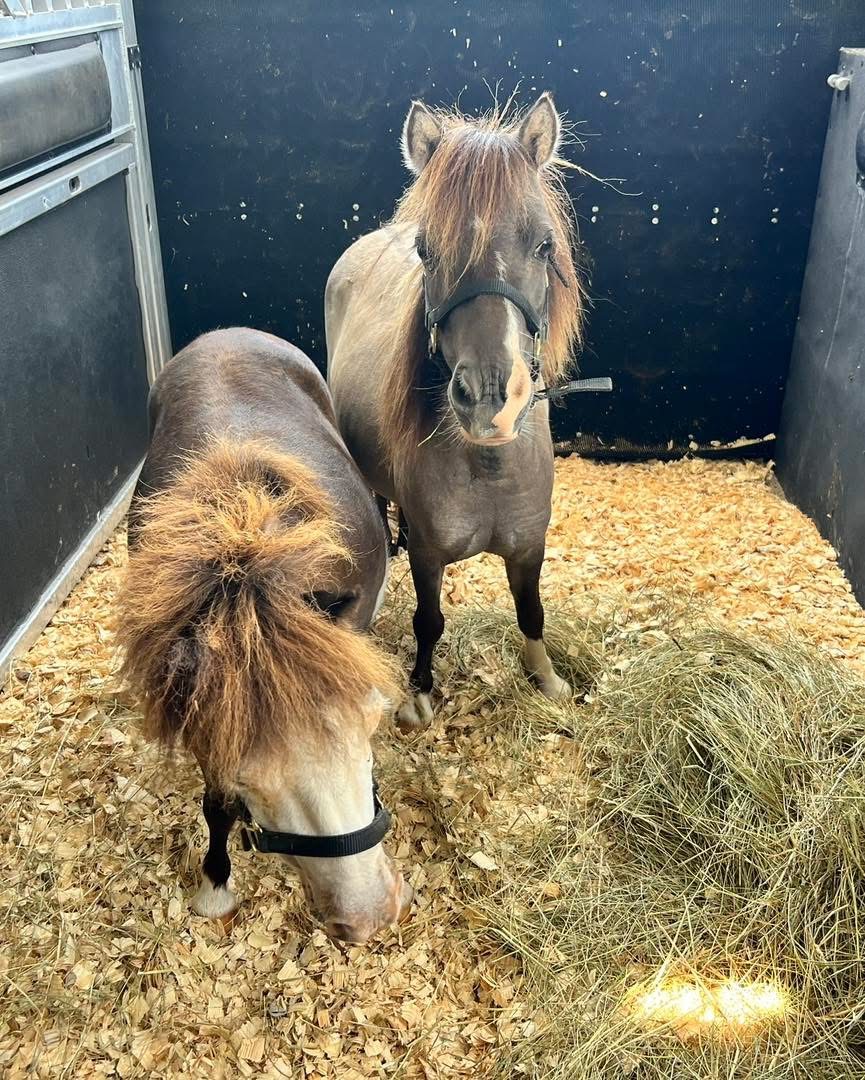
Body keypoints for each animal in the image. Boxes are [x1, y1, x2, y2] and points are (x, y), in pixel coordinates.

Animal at [117, 328, 412, 944]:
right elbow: (215, 806)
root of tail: (226, 333)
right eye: (247, 777)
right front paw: (215, 885)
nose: (370, 915)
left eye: (369, 724)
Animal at [326, 93, 586, 729]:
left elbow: (532, 612)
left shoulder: (529, 547)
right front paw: (419, 693)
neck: (487, 466)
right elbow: (429, 621)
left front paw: (546, 680)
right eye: (427, 251)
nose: (490, 398)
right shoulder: (428, 553)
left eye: (544, 245)